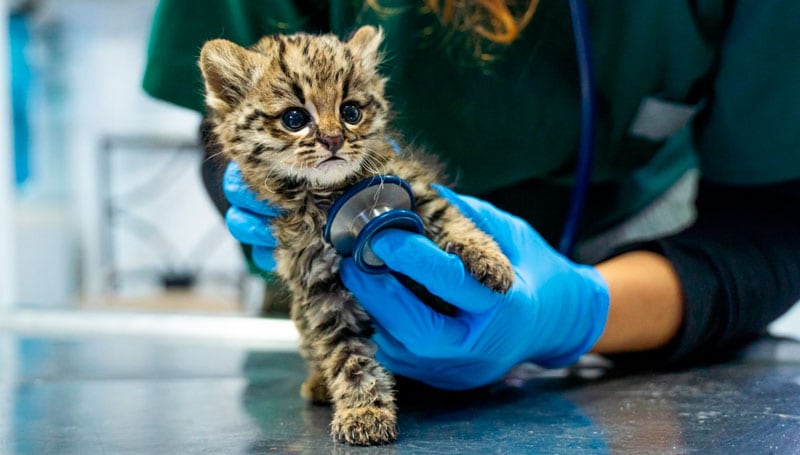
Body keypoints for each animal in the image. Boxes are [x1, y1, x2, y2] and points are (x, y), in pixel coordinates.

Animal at [198, 26, 516, 448]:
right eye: (294, 118)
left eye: (351, 113)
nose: (333, 140)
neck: (327, 194)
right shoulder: (320, 286)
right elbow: (346, 353)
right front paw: (363, 409)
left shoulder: (414, 187)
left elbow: (451, 218)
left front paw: (492, 259)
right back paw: (318, 384)